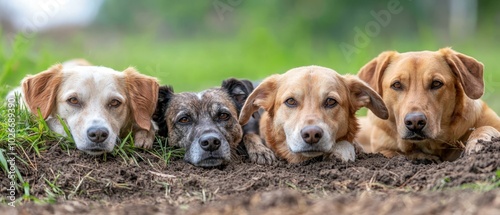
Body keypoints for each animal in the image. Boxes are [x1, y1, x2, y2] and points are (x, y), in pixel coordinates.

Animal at [356, 47, 500, 161]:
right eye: (396, 85)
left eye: (436, 83)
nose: (415, 122)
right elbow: (394, 153)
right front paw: (420, 157)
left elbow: (485, 127)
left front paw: (478, 142)